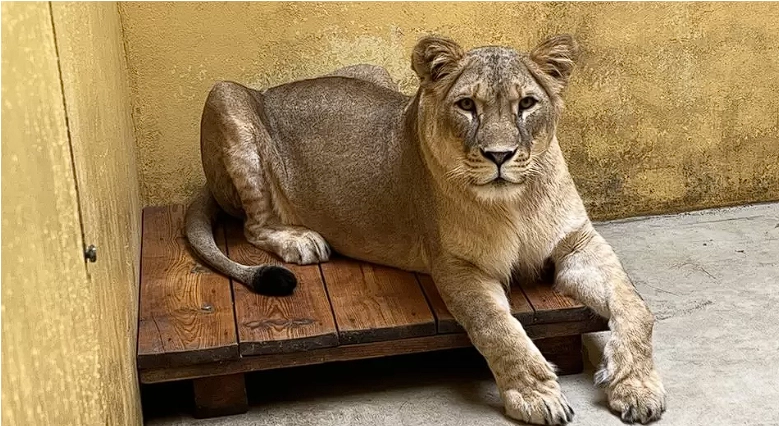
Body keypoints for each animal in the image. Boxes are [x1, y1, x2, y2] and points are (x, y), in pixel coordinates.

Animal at [185, 35, 666, 425]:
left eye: (527, 104)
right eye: (467, 105)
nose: (499, 156)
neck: (518, 199)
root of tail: (270, 90)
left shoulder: (578, 242)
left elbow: (635, 306)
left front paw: (637, 387)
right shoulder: (458, 265)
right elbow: (498, 327)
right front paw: (535, 395)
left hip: (376, 73)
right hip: (223, 97)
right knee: (253, 226)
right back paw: (301, 241)